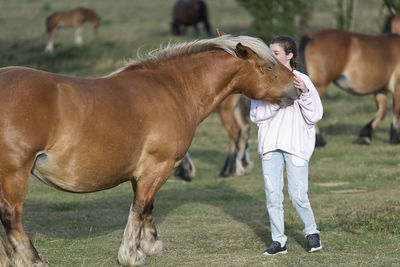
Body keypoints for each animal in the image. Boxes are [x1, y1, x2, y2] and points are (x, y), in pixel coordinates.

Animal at [0, 33, 298, 267]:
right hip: (14, 174)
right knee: (11, 217)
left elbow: (148, 207)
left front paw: (151, 245)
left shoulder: (146, 171)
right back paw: (32, 260)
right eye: (267, 66)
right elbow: (140, 207)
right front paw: (132, 254)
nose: (297, 88)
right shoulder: (158, 166)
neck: (174, 88)